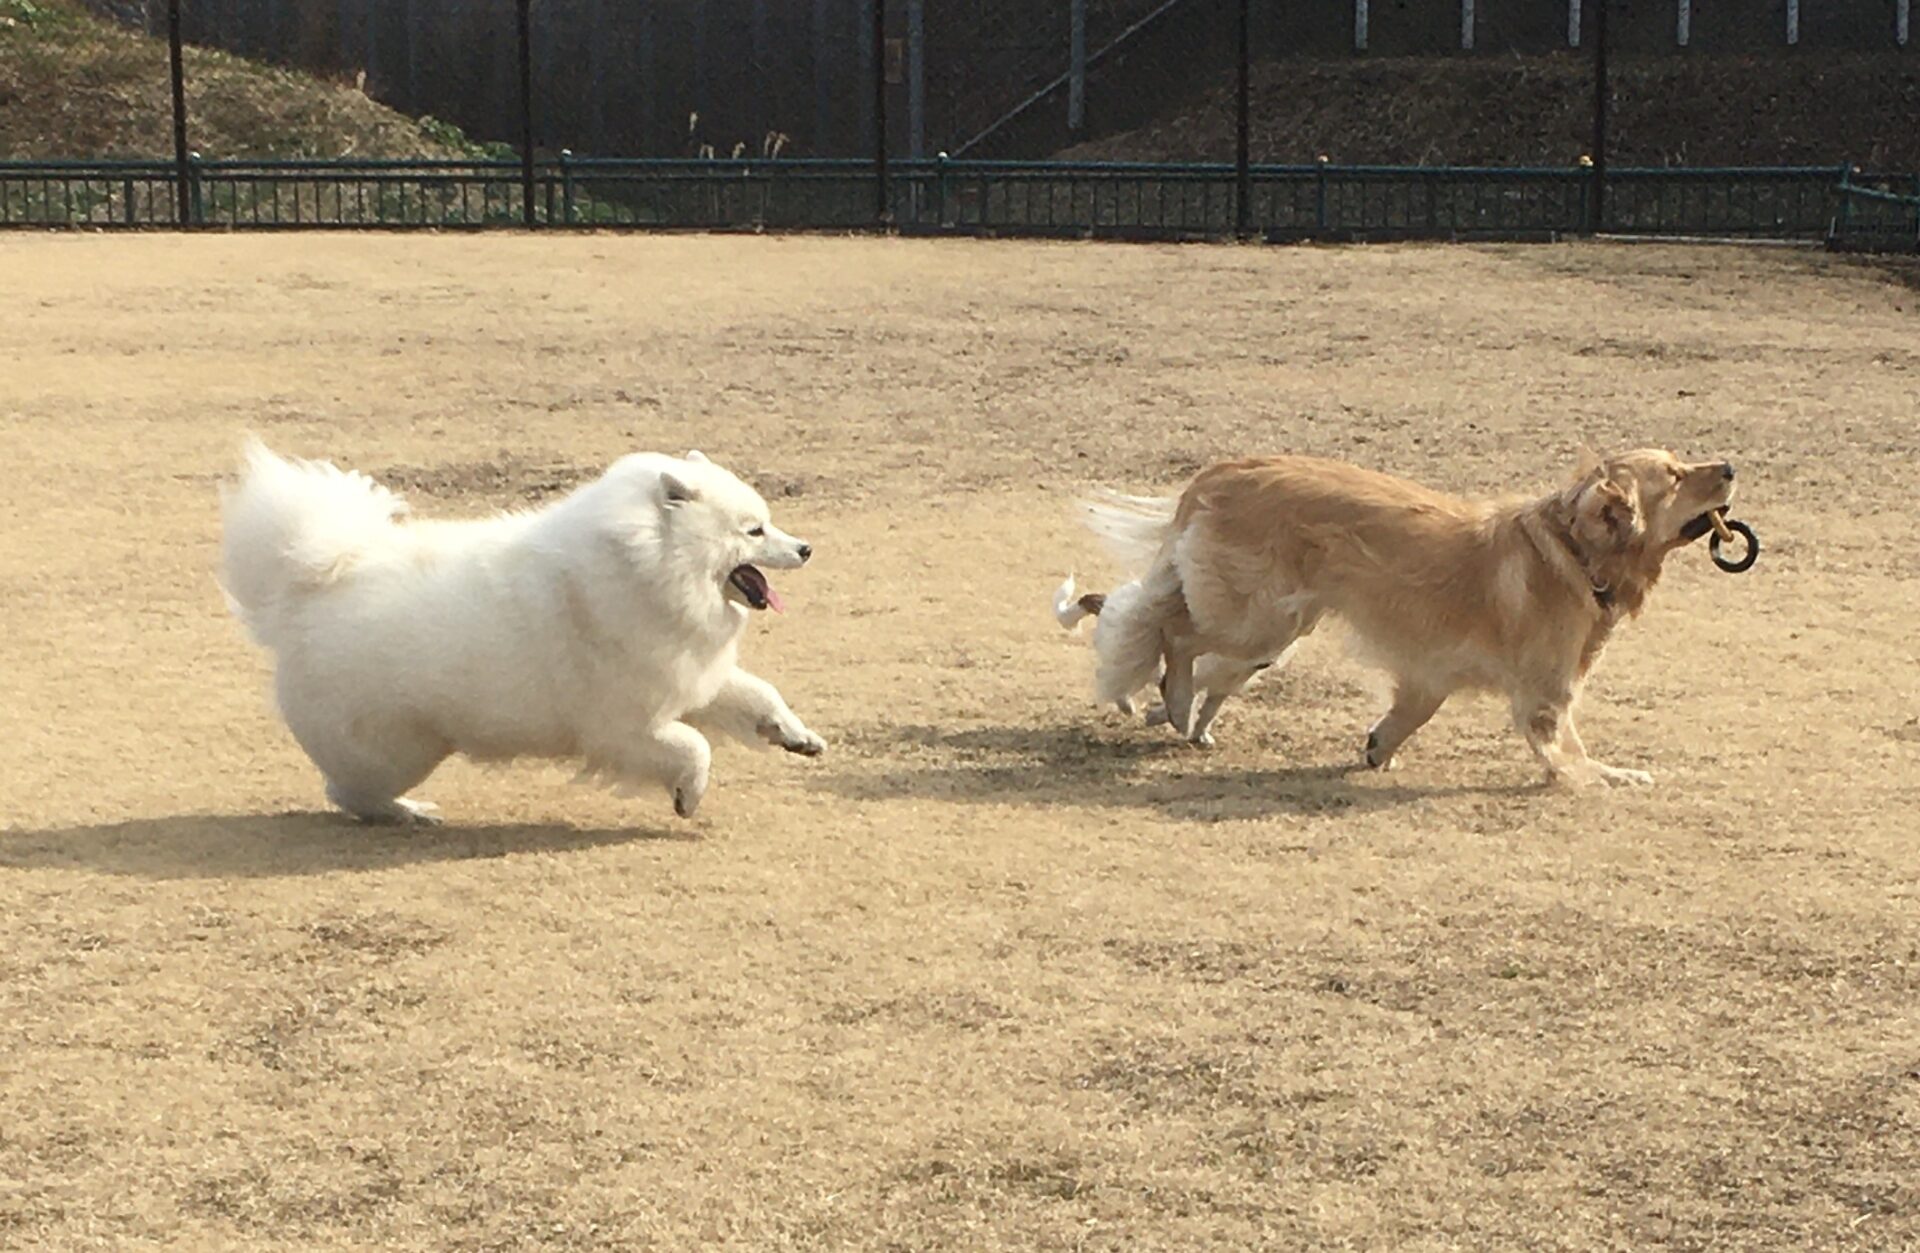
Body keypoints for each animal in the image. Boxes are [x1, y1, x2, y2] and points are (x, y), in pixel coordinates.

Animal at [220, 440, 825, 822]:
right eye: (754, 530)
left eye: (768, 522)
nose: (806, 548)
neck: (648, 568)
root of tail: (303, 589)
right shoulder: (624, 728)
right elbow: (695, 748)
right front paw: (688, 797)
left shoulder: (694, 676)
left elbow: (760, 696)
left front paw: (798, 736)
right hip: (398, 751)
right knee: (347, 792)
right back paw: (406, 813)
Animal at [1054, 449, 1737, 787]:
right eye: (1674, 475)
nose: (1731, 467)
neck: (1573, 550)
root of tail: (1216, 474)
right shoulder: (1545, 696)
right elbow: (1566, 749)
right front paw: (1611, 776)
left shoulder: (1428, 676)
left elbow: (1404, 718)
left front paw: (1378, 750)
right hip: (1254, 621)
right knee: (1169, 632)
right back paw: (1172, 701)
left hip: (1272, 632)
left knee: (1170, 638)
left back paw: (1186, 718)